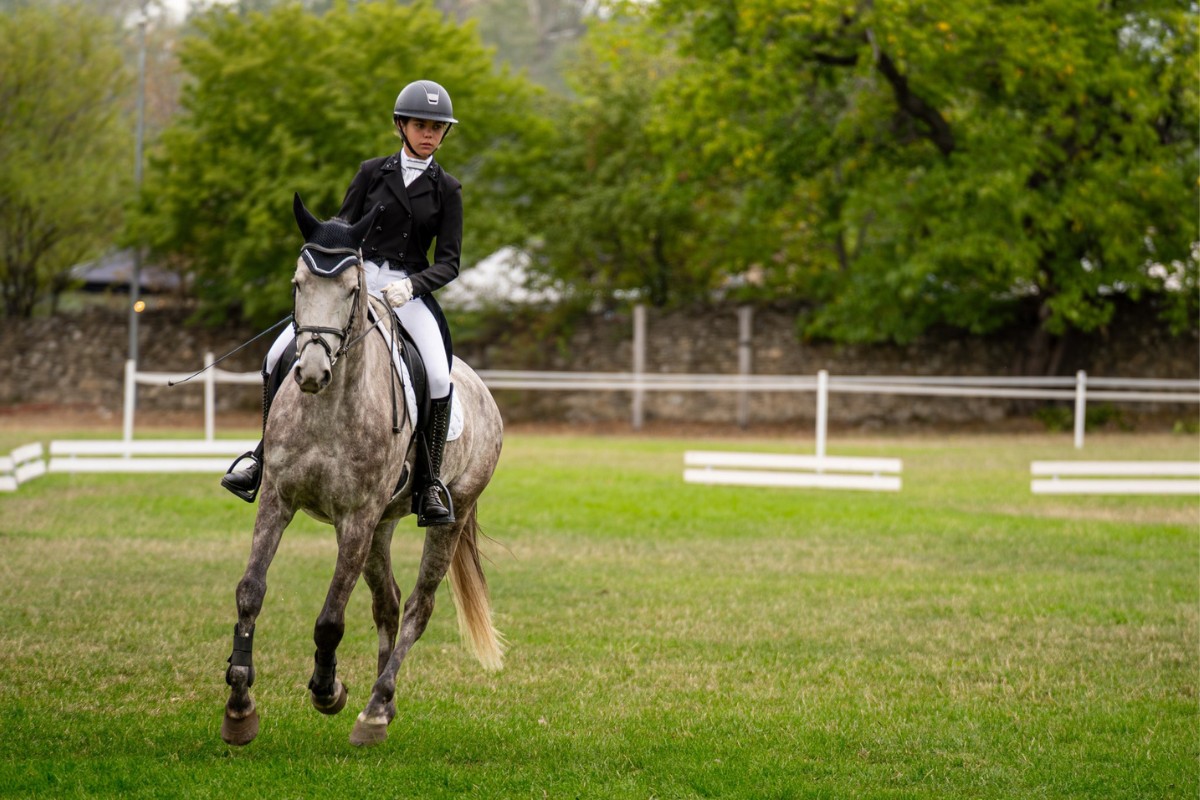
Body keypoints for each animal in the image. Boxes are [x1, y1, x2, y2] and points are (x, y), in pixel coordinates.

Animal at [221, 194, 505, 747]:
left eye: (352, 290)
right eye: (297, 284)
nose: (311, 372)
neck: (328, 406)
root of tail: (481, 388)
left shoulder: (355, 518)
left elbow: (331, 618)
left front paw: (327, 691)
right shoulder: (278, 499)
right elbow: (250, 592)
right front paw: (239, 704)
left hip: (446, 516)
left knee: (417, 607)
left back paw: (374, 709)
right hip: (382, 525)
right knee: (387, 604)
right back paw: (383, 706)